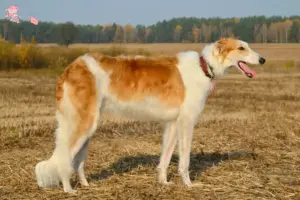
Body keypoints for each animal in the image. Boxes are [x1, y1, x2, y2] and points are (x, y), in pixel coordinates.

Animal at [34, 37, 266, 192]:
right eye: (241, 48)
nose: (263, 59)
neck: (204, 66)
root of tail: (73, 66)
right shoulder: (187, 122)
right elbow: (184, 161)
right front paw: (189, 184)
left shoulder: (172, 123)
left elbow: (164, 159)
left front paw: (164, 182)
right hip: (84, 123)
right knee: (64, 158)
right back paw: (68, 189)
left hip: (87, 124)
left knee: (76, 160)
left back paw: (85, 184)